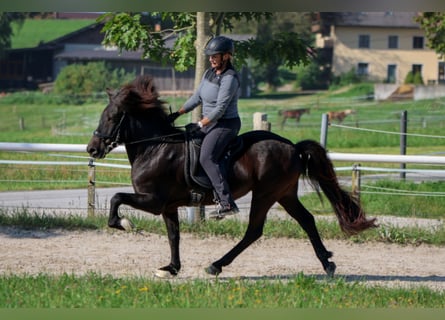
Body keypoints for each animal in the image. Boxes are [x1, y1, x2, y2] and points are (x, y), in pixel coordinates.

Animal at [86, 74, 374, 278]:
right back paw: (327, 263)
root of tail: (292, 146)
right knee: (306, 220)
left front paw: (124, 224)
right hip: (285, 194)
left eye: (112, 117)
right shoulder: (168, 206)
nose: (92, 149)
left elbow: (116, 198)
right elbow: (173, 236)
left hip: (266, 193)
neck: (156, 147)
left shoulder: (153, 200)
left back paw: (216, 265)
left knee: (254, 231)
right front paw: (171, 268)